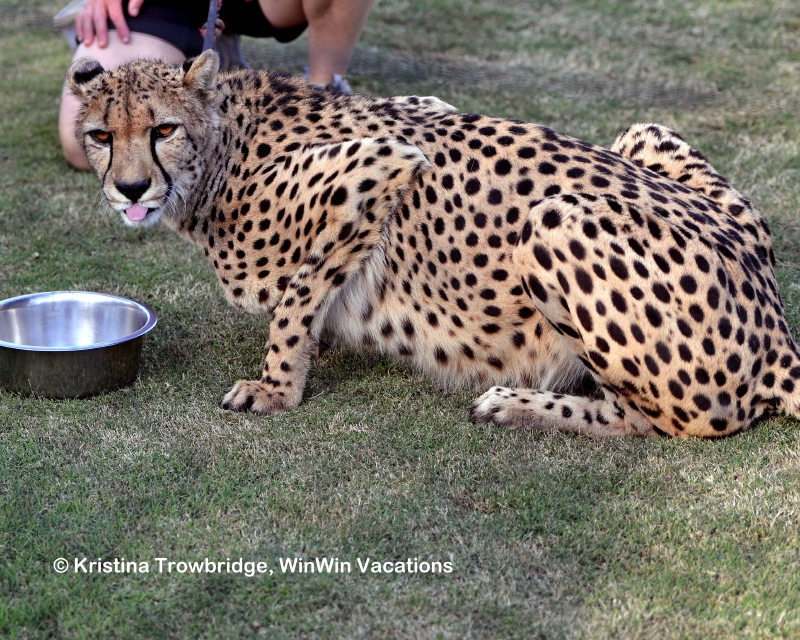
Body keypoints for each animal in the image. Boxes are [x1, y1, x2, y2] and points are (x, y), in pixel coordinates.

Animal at [67, 50, 800, 438]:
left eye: (162, 129)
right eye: (101, 135)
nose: (130, 189)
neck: (222, 145)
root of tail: (774, 327)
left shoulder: (381, 165)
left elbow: (297, 297)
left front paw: (276, 386)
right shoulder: (422, 111)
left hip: (552, 221)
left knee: (663, 421)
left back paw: (514, 404)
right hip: (644, 133)